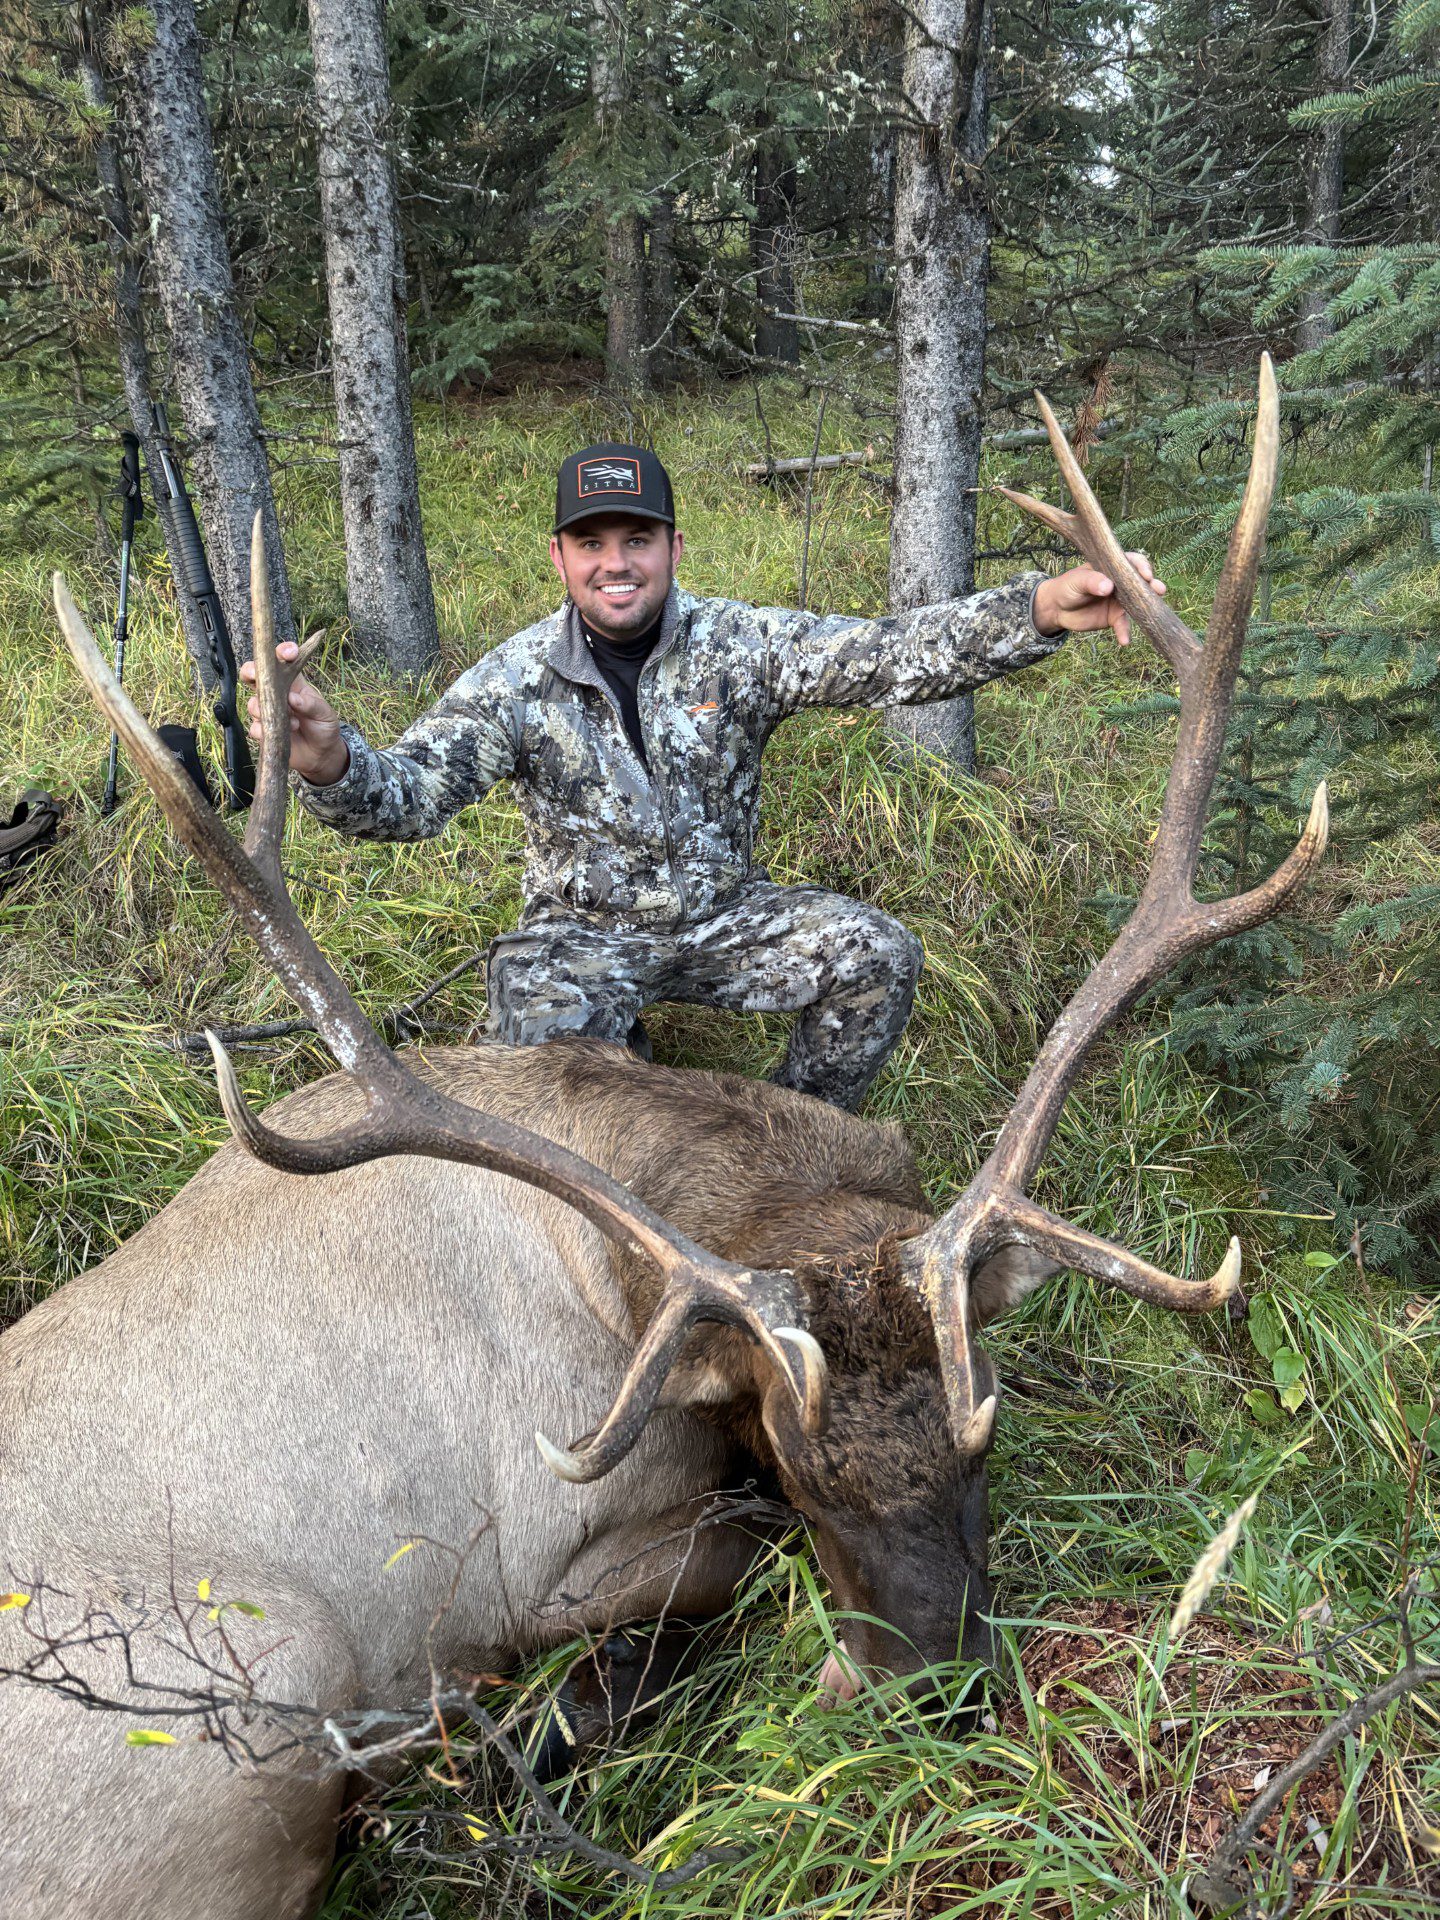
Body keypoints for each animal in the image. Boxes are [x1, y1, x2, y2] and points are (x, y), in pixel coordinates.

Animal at [1, 359, 1325, 1920]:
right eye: (799, 1473)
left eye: (985, 1434)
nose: (936, 1696)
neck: (622, 1257)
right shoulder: (538, 1558)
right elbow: (702, 1573)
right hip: (262, 1681)